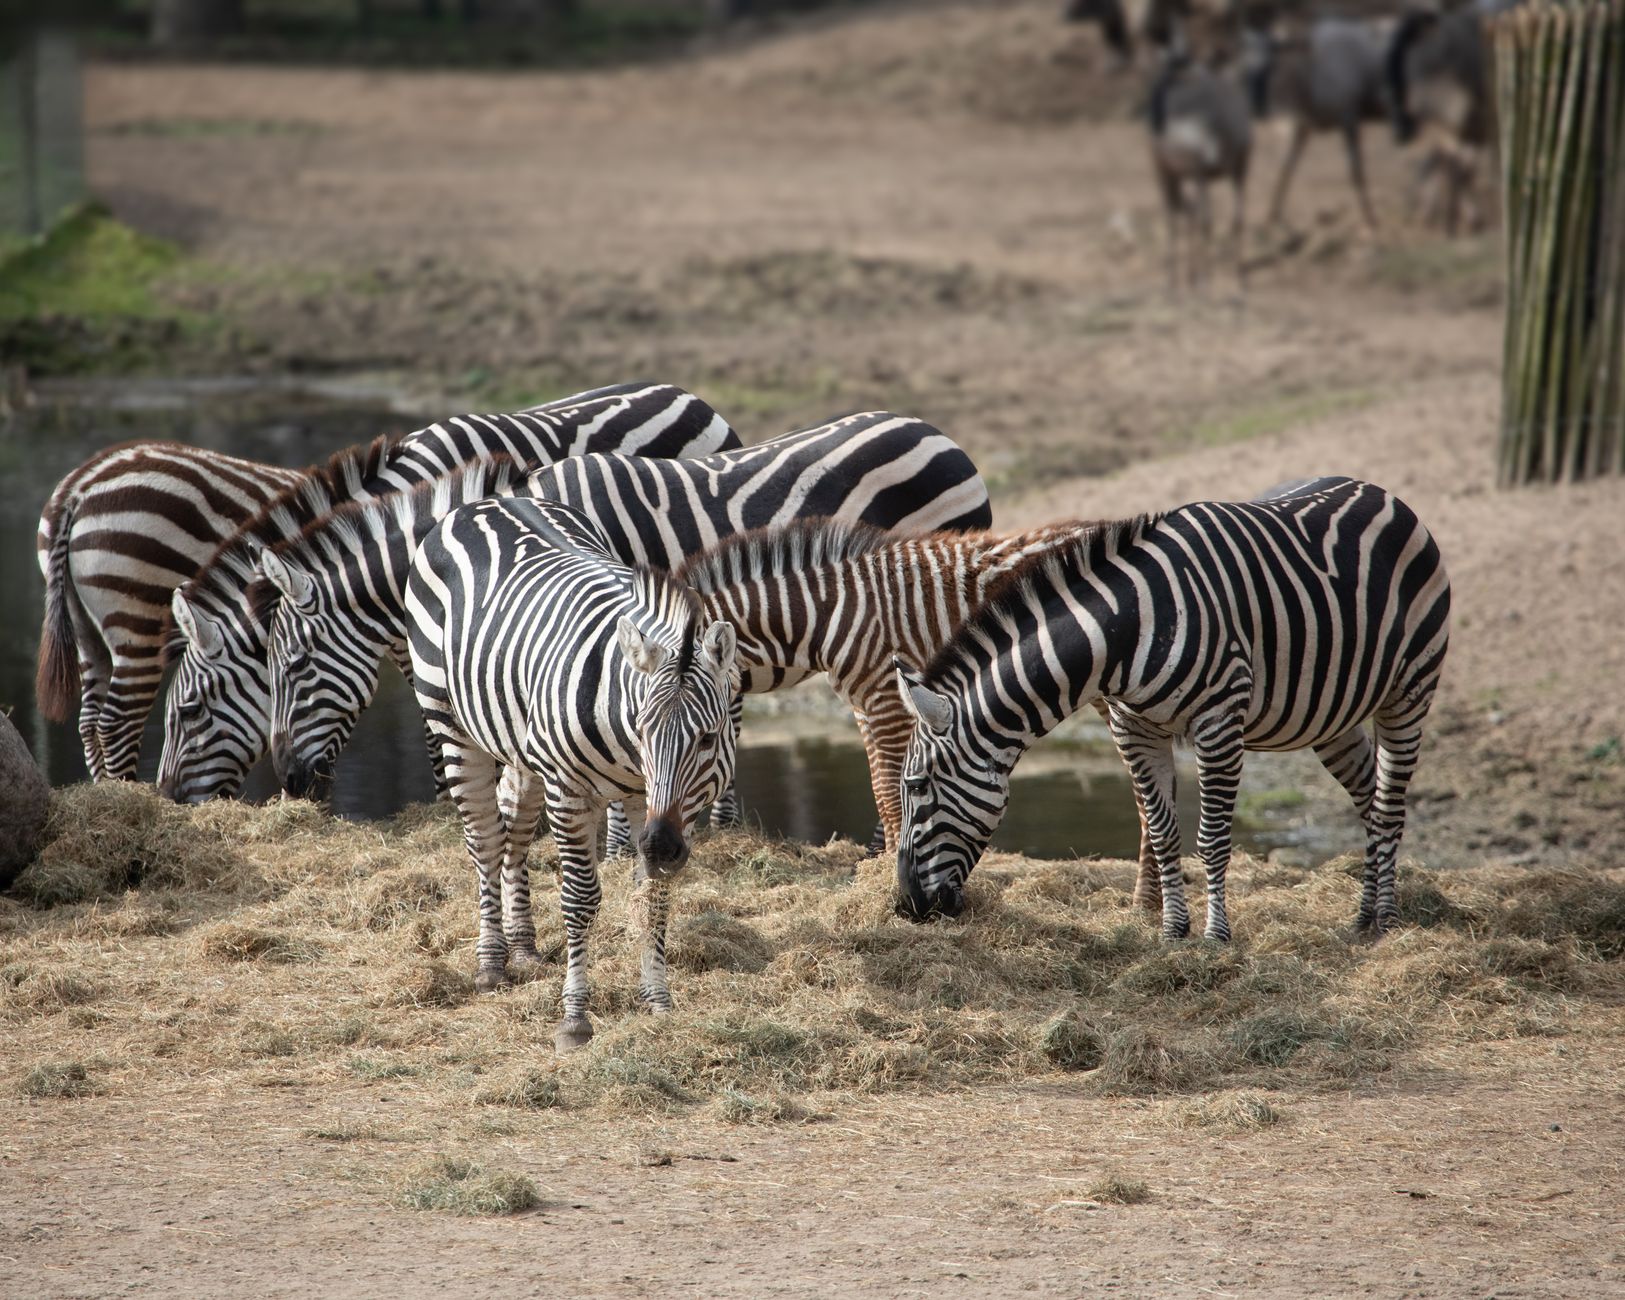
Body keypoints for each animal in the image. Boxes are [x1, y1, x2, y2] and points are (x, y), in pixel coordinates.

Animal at [35, 441, 304, 781]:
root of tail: (76, 488)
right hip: (138, 623)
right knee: (116, 725)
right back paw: (130, 793)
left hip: (84, 629)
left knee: (89, 723)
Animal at [405, 496, 739, 1051]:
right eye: (644, 730)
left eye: (709, 739)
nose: (662, 847)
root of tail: (489, 500)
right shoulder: (569, 790)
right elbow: (581, 899)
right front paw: (575, 1019)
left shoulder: (654, 803)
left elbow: (653, 898)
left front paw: (659, 1003)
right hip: (449, 721)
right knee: (484, 839)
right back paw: (491, 962)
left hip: (521, 745)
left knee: (514, 829)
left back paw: (522, 947)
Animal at [891, 476, 1451, 942]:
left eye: (916, 786)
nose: (906, 907)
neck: (1125, 629)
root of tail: (1380, 492)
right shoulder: (1134, 729)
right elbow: (1164, 833)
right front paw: (1172, 933)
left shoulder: (1219, 722)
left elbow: (1211, 837)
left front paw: (1216, 936)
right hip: (1331, 715)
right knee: (1368, 798)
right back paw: (1361, 918)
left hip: (1409, 691)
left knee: (1390, 802)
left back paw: (1387, 919)